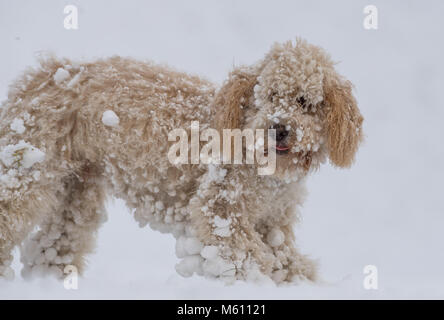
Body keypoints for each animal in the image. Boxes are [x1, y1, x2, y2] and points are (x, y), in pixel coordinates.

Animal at [0, 39, 362, 282]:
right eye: (269, 95)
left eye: (305, 102)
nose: (280, 129)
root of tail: (46, 72)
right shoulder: (219, 210)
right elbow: (248, 257)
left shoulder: (273, 222)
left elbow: (286, 260)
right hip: (27, 174)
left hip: (76, 190)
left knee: (52, 245)